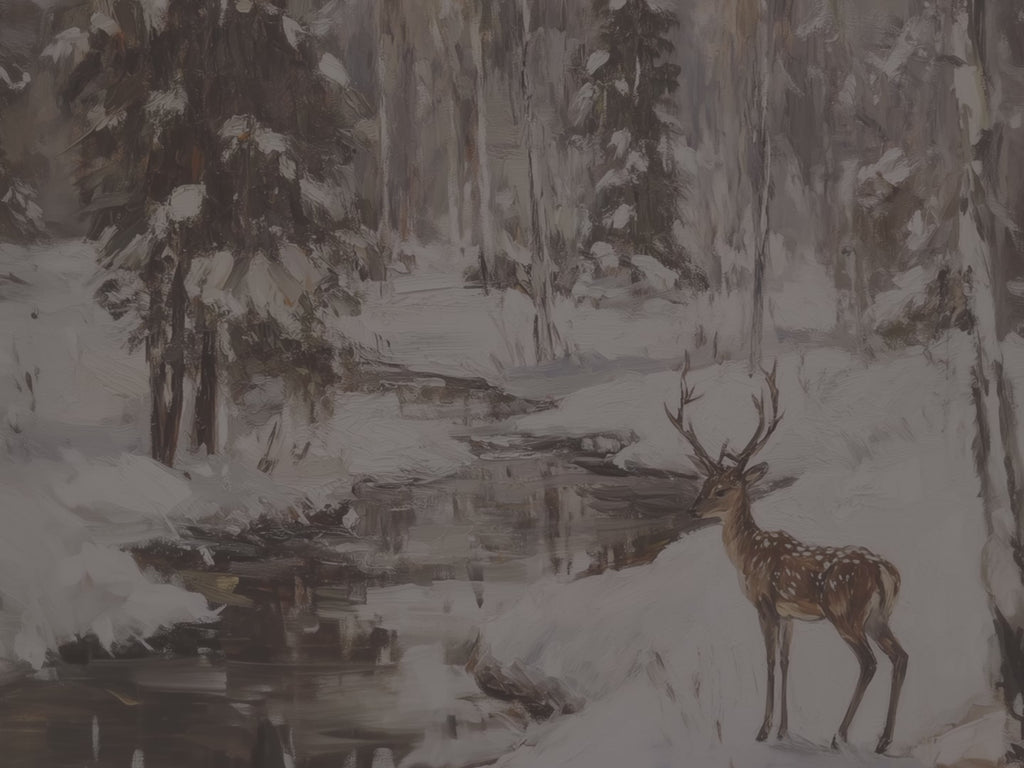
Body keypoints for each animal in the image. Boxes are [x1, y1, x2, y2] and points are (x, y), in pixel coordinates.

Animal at [664, 357, 907, 754]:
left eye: (722, 489)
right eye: (704, 483)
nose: (692, 510)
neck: (748, 556)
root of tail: (887, 572)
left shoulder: (765, 603)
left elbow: (767, 661)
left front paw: (763, 730)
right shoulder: (789, 614)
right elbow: (786, 661)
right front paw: (782, 729)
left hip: (846, 613)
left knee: (870, 662)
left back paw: (840, 735)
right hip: (878, 615)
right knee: (899, 656)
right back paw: (883, 740)